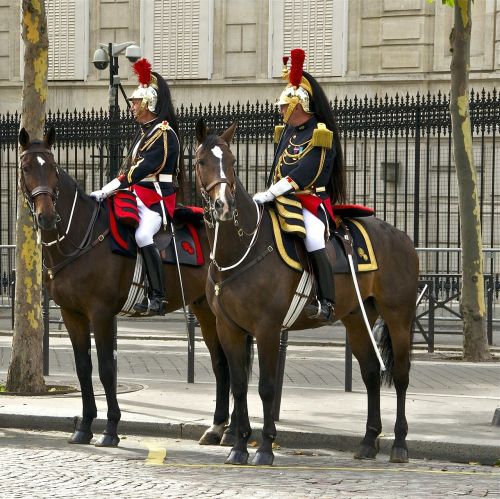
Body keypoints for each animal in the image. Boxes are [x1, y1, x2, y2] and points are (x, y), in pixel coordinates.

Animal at [19, 127, 244, 448]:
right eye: (26, 168)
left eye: (51, 168)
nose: (47, 216)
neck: (81, 236)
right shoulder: (72, 314)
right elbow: (83, 367)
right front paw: (84, 427)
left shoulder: (101, 313)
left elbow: (106, 368)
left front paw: (110, 429)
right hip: (205, 309)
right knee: (222, 364)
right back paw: (218, 428)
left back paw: (232, 432)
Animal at [193, 121, 420, 468]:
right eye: (201, 161)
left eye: (231, 161)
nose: (223, 206)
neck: (243, 248)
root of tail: (401, 236)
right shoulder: (229, 328)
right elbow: (240, 385)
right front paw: (239, 447)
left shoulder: (268, 328)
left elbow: (267, 387)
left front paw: (265, 447)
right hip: (357, 317)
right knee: (370, 372)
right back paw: (368, 442)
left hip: (398, 316)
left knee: (401, 373)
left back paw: (399, 444)